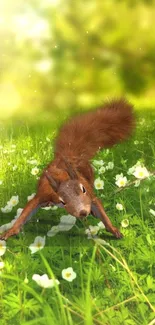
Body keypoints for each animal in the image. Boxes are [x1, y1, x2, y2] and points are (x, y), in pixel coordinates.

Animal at [0, 98, 134, 240]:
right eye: (62, 201)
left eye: (83, 189)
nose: (83, 212)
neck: (62, 178)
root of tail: (67, 156)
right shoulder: (44, 194)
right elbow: (27, 211)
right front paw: (10, 231)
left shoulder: (89, 195)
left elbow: (99, 208)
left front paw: (113, 230)